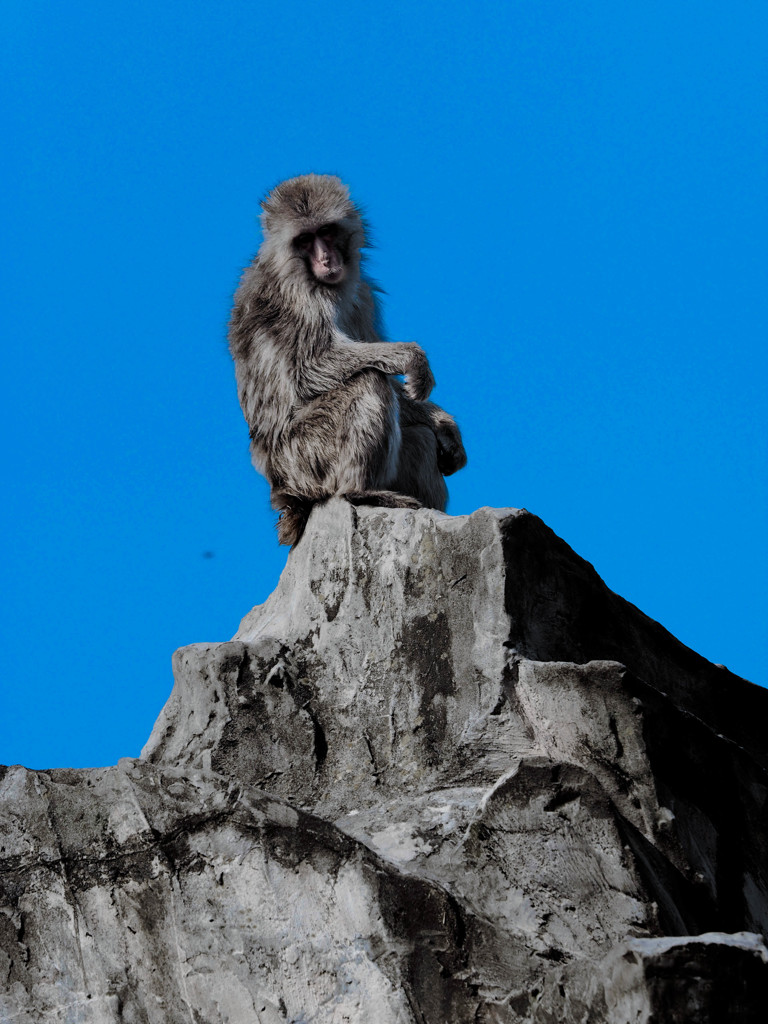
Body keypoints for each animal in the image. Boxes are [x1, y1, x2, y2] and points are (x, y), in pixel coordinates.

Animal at [228, 175, 466, 544]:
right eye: (305, 240)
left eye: (327, 232)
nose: (326, 260)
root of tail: (283, 491)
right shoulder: (300, 296)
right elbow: (309, 367)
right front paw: (411, 356)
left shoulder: (363, 294)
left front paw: (442, 422)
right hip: (305, 458)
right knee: (367, 382)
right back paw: (359, 491)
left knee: (419, 438)